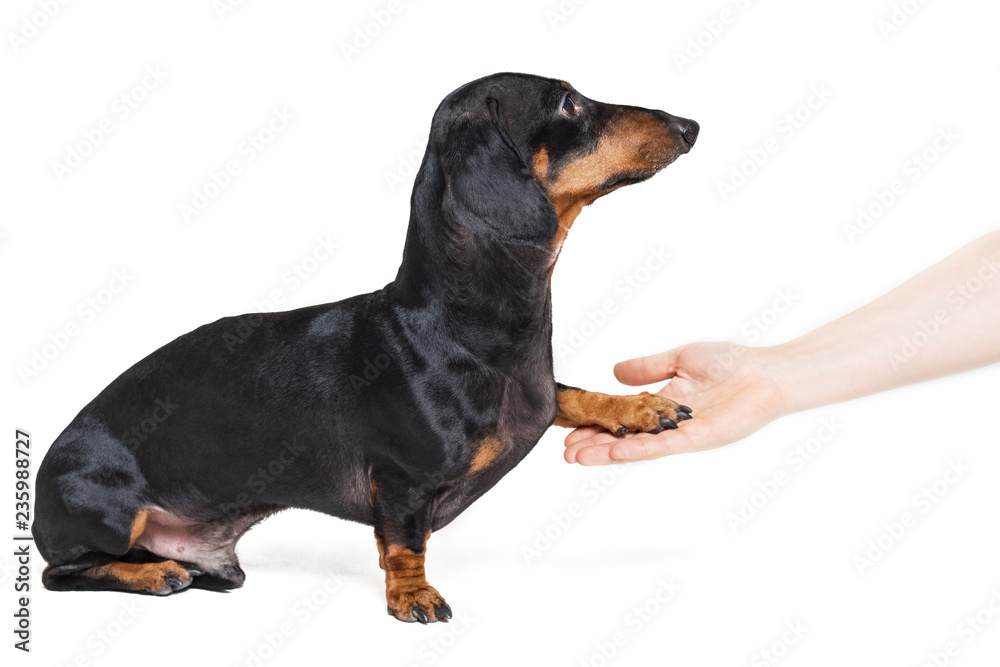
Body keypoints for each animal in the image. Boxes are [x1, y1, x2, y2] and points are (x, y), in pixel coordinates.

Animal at [35, 74, 700, 628]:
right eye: (567, 103)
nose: (690, 125)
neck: (455, 325)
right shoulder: (400, 480)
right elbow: (405, 544)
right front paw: (413, 595)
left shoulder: (537, 394)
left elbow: (568, 394)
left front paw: (640, 409)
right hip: (108, 514)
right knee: (61, 572)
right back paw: (154, 574)